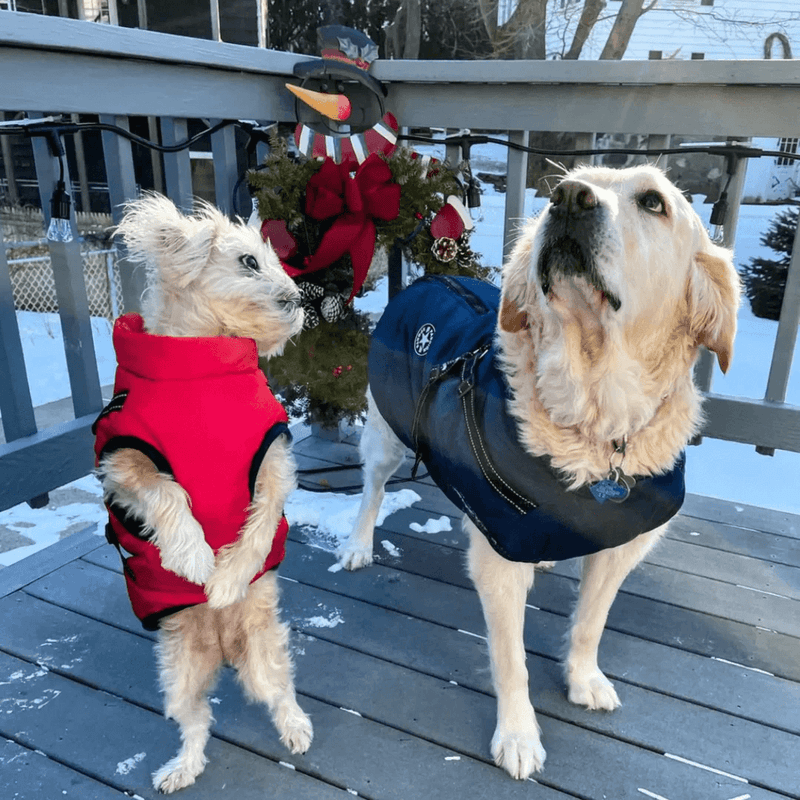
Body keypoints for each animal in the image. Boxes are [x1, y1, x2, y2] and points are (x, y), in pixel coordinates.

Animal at [94, 195, 312, 792]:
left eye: (276, 261)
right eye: (249, 262)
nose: (297, 300)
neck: (202, 370)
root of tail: (224, 647)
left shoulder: (274, 464)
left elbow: (260, 525)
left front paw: (227, 579)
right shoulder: (121, 460)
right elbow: (167, 495)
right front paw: (194, 559)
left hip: (265, 654)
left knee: (280, 692)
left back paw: (296, 727)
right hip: (178, 673)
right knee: (196, 723)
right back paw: (180, 768)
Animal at [336, 164, 736, 780]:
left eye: (653, 202)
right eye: (563, 188)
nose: (568, 199)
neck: (597, 421)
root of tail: (434, 279)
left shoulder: (623, 545)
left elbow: (591, 621)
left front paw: (584, 679)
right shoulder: (499, 557)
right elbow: (512, 660)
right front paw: (519, 736)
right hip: (385, 435)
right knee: (371, 491)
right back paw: (358, 544)